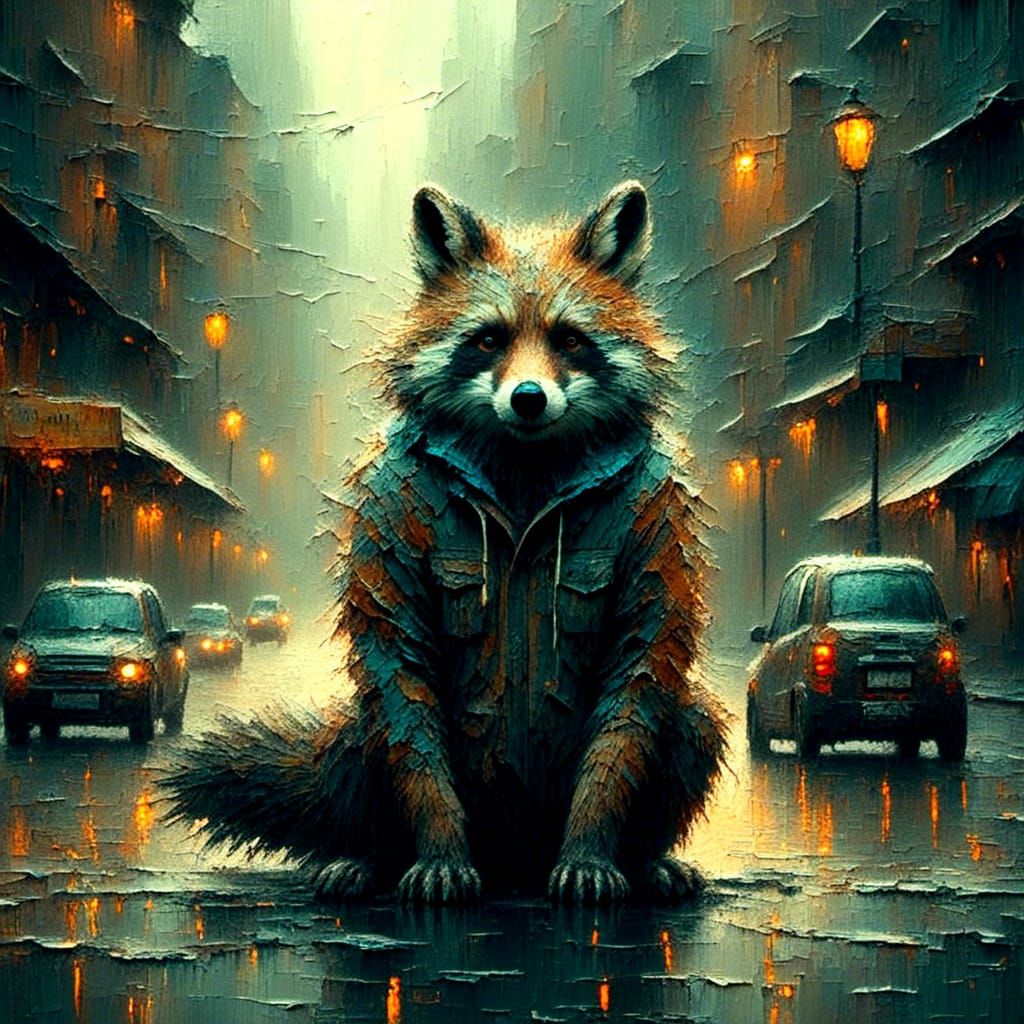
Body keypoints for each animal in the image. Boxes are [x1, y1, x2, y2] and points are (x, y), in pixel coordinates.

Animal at [164, 182, 727, 905]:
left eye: (570, 340)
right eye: (488, 339)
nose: (527, 398)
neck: (524, 479)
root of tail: (514, 861)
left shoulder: (659, 517)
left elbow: (633, 692)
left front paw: (593, 849)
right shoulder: (391, 506)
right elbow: (404, 681)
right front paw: (437, 850)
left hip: (688, 724)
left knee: (688, 715)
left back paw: (647, 858)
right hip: (364, 734)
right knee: (376, 728)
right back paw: (366, 856)